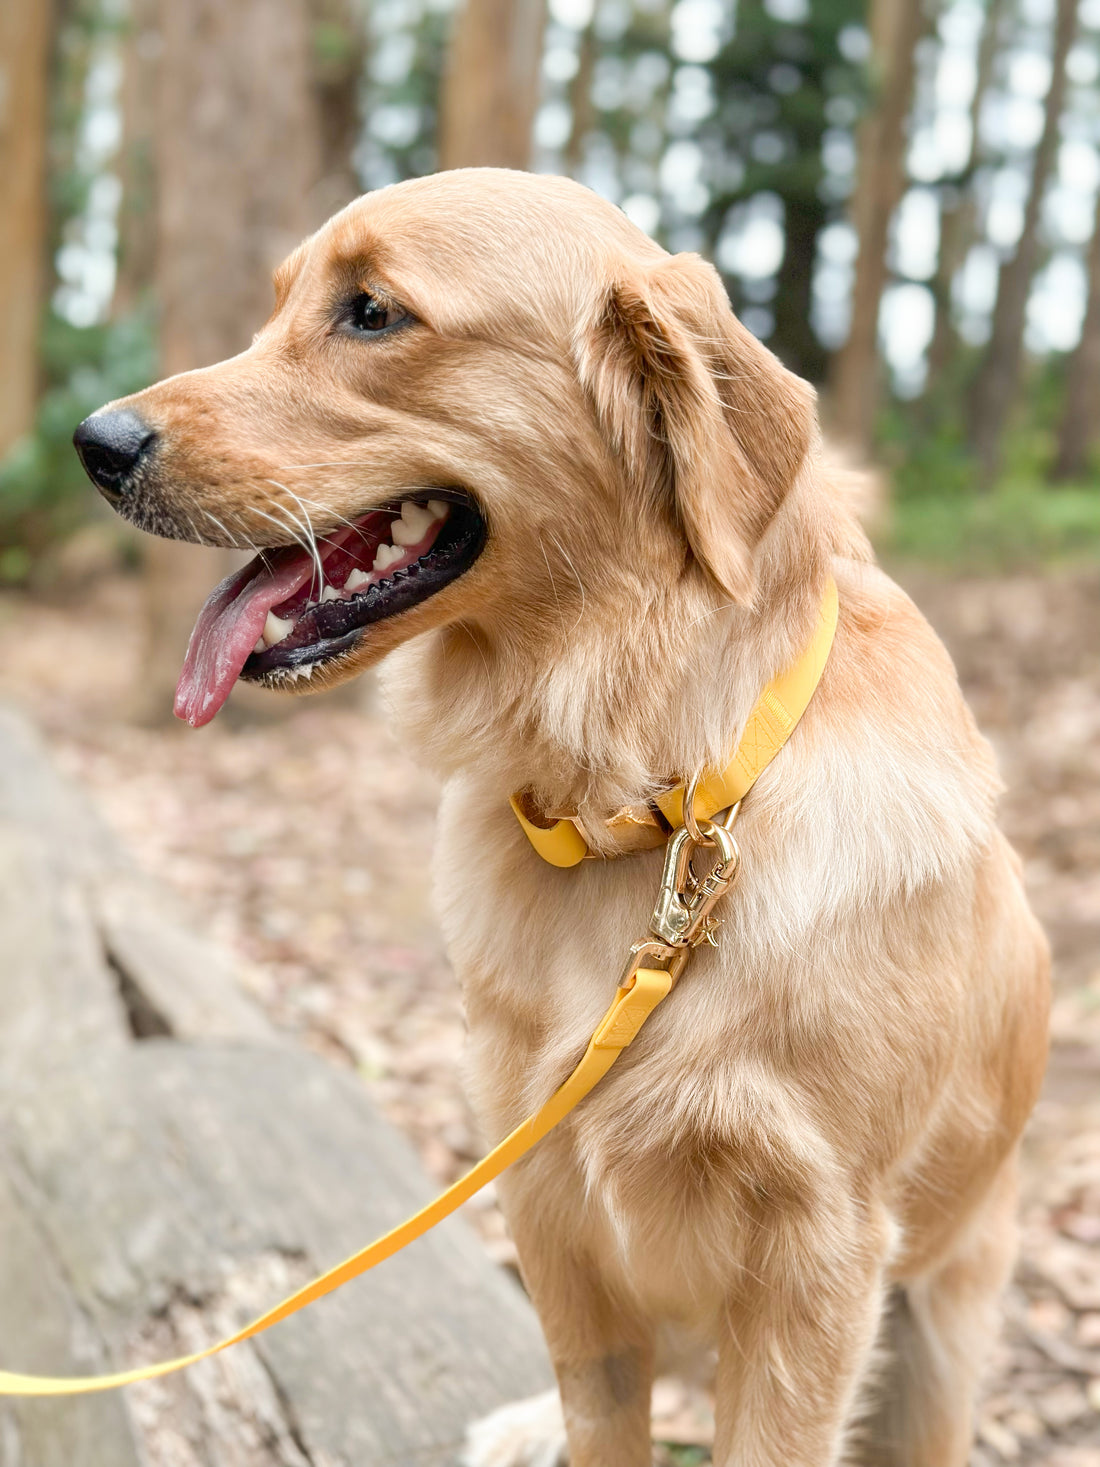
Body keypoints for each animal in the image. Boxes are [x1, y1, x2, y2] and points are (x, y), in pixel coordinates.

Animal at [77, 171, 1050, 1467]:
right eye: (280, 303)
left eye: (371, 312)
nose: (94, 443)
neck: (645, 802)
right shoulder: (547, 1204)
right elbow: (600, 1421)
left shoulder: (816, 1255)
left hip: (940, 1330)